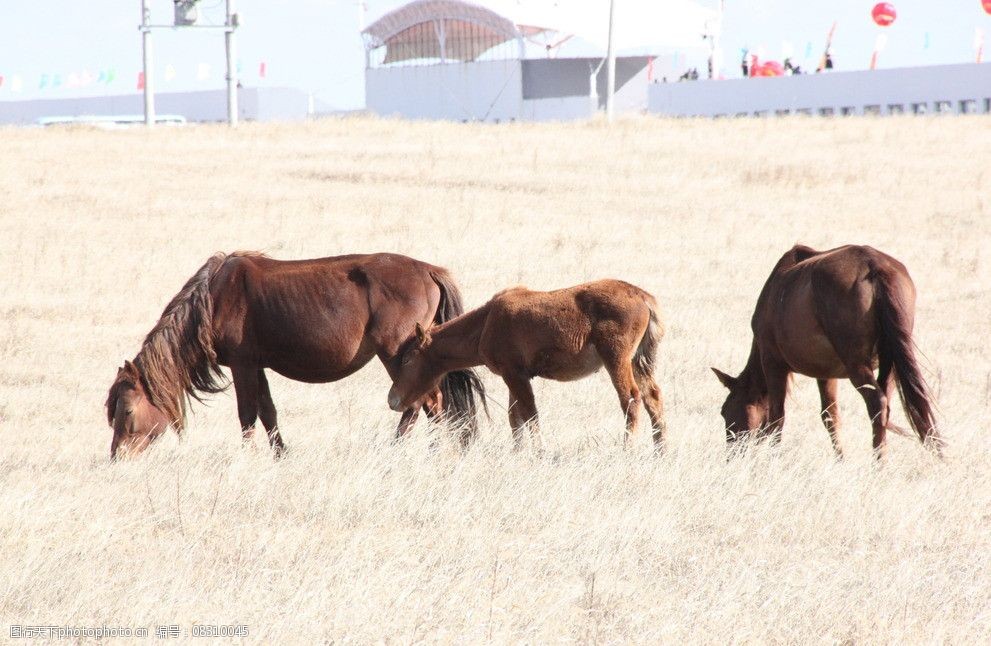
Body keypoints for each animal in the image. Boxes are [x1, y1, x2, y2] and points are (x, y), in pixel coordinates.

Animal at [104, 253, 484, 460]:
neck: (213, 298)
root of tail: (430, 270)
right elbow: (268, 412)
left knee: (425, 404)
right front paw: (280, 455)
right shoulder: (257, 365)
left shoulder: (243, 365)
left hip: (398, 355)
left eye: (127, 410)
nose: (117, 458)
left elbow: (247, 414)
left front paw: (248, 458)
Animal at [388, 280, 668, 454]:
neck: (486, 323)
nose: (392, 399)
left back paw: (627, 449)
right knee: (652, 397)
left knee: (630, 398)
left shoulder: (515, 375)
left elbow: (529, 413)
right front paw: (517, 452)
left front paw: (539, 451)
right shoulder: (513, 377)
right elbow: (515, 418)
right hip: (638, 361)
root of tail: (644, 298)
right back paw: (661, 451)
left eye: (408, 359)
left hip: (616, 359)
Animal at [712, 244, 936, 460]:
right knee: (885, 406)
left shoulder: (773, 363)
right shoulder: (826, 373)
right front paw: (840, 460)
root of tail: (874, 267)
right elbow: (830, 416)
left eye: (724, 411)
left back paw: (878, 464)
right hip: (889, 365)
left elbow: (777, 418)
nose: (731, 456)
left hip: (856, 365)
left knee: (877, 403)